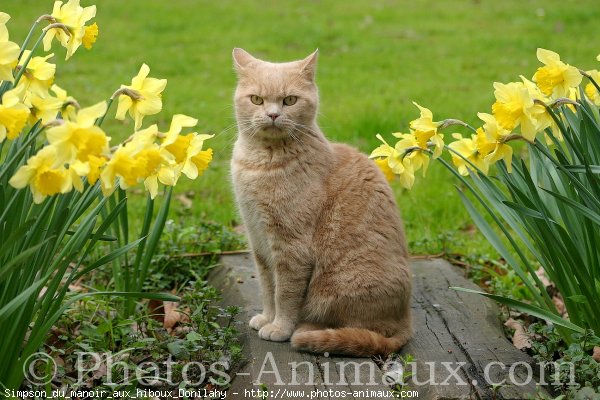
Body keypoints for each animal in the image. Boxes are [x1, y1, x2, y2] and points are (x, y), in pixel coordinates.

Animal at [230, 47, 412, 356]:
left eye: (289, 100)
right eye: (256, 99)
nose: (273, 114)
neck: (260, 162)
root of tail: (406, 321)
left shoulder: (290, 247)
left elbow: (285, 294)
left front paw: (279, 327)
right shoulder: (259, 243)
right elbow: (267, 288)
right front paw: (267, 317)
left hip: (336, 286)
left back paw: (307, 330)